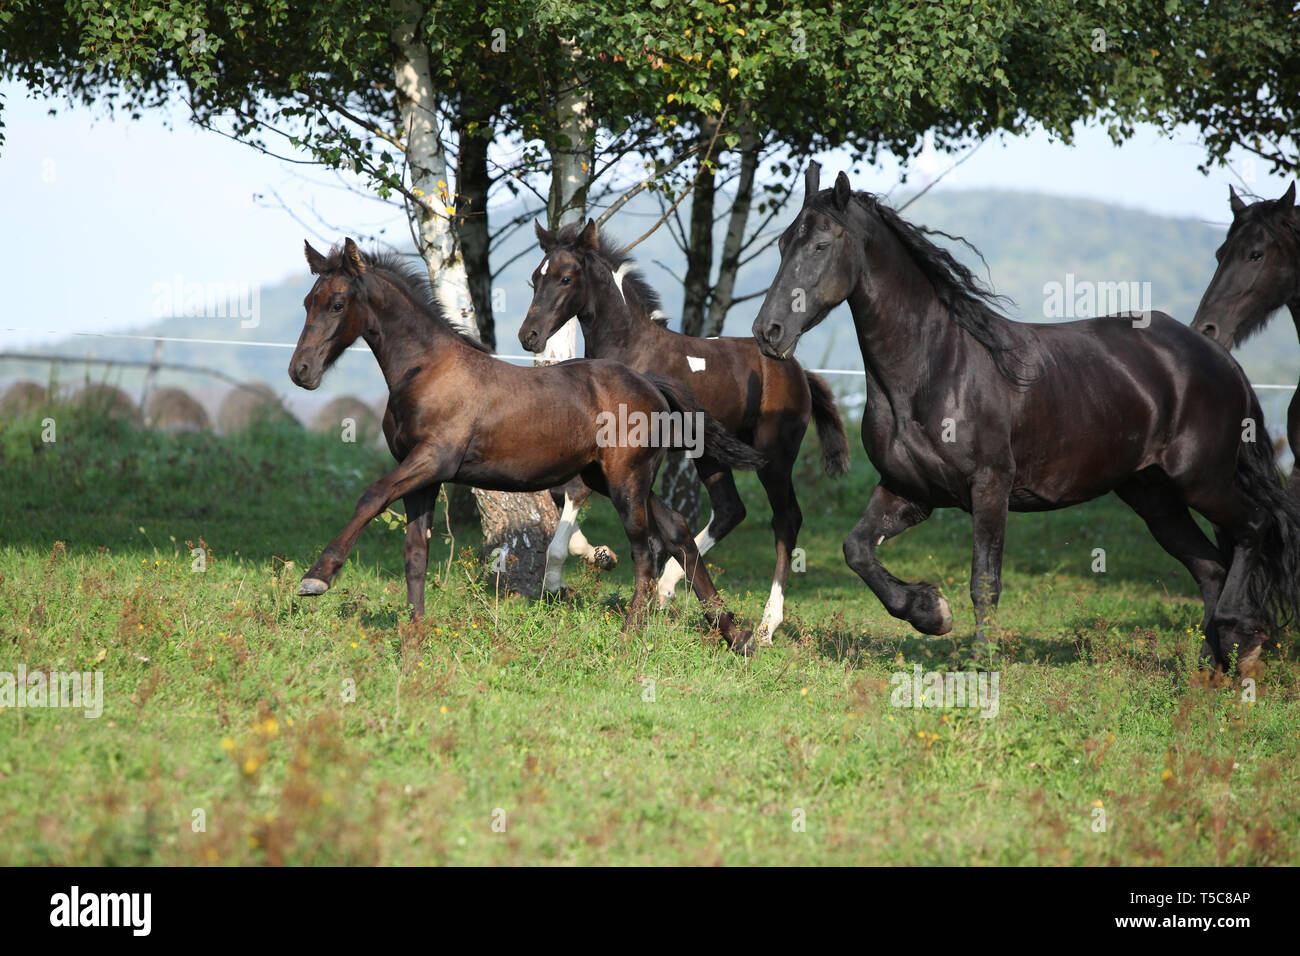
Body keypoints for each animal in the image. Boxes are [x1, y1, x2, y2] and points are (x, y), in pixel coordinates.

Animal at [287, 240, 759, 658]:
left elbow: (371, 496)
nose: (300, 371)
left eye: (338, 304)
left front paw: (317, 578)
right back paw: (736, 636)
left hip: (626, 481)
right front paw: (415, 639)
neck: (427, 370)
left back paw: (630, 638)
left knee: (645, 551)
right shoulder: (422, 476)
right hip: (612, 478)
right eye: (308, 301)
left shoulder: (433, 459)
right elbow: (415, 553)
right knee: (678, 531)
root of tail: (652, 384)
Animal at [517, 221, 852, 647]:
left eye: (565, 278)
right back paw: (667, 588)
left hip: (774, 459)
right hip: (710, 453)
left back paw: (766, 626)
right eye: (534, 278)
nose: (529, 336)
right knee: (730, 510)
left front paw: (561, 573)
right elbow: (568, 492)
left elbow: (578, 491)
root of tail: (799, 371)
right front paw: (598, 555)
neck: (629, 347)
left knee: (786, 520)